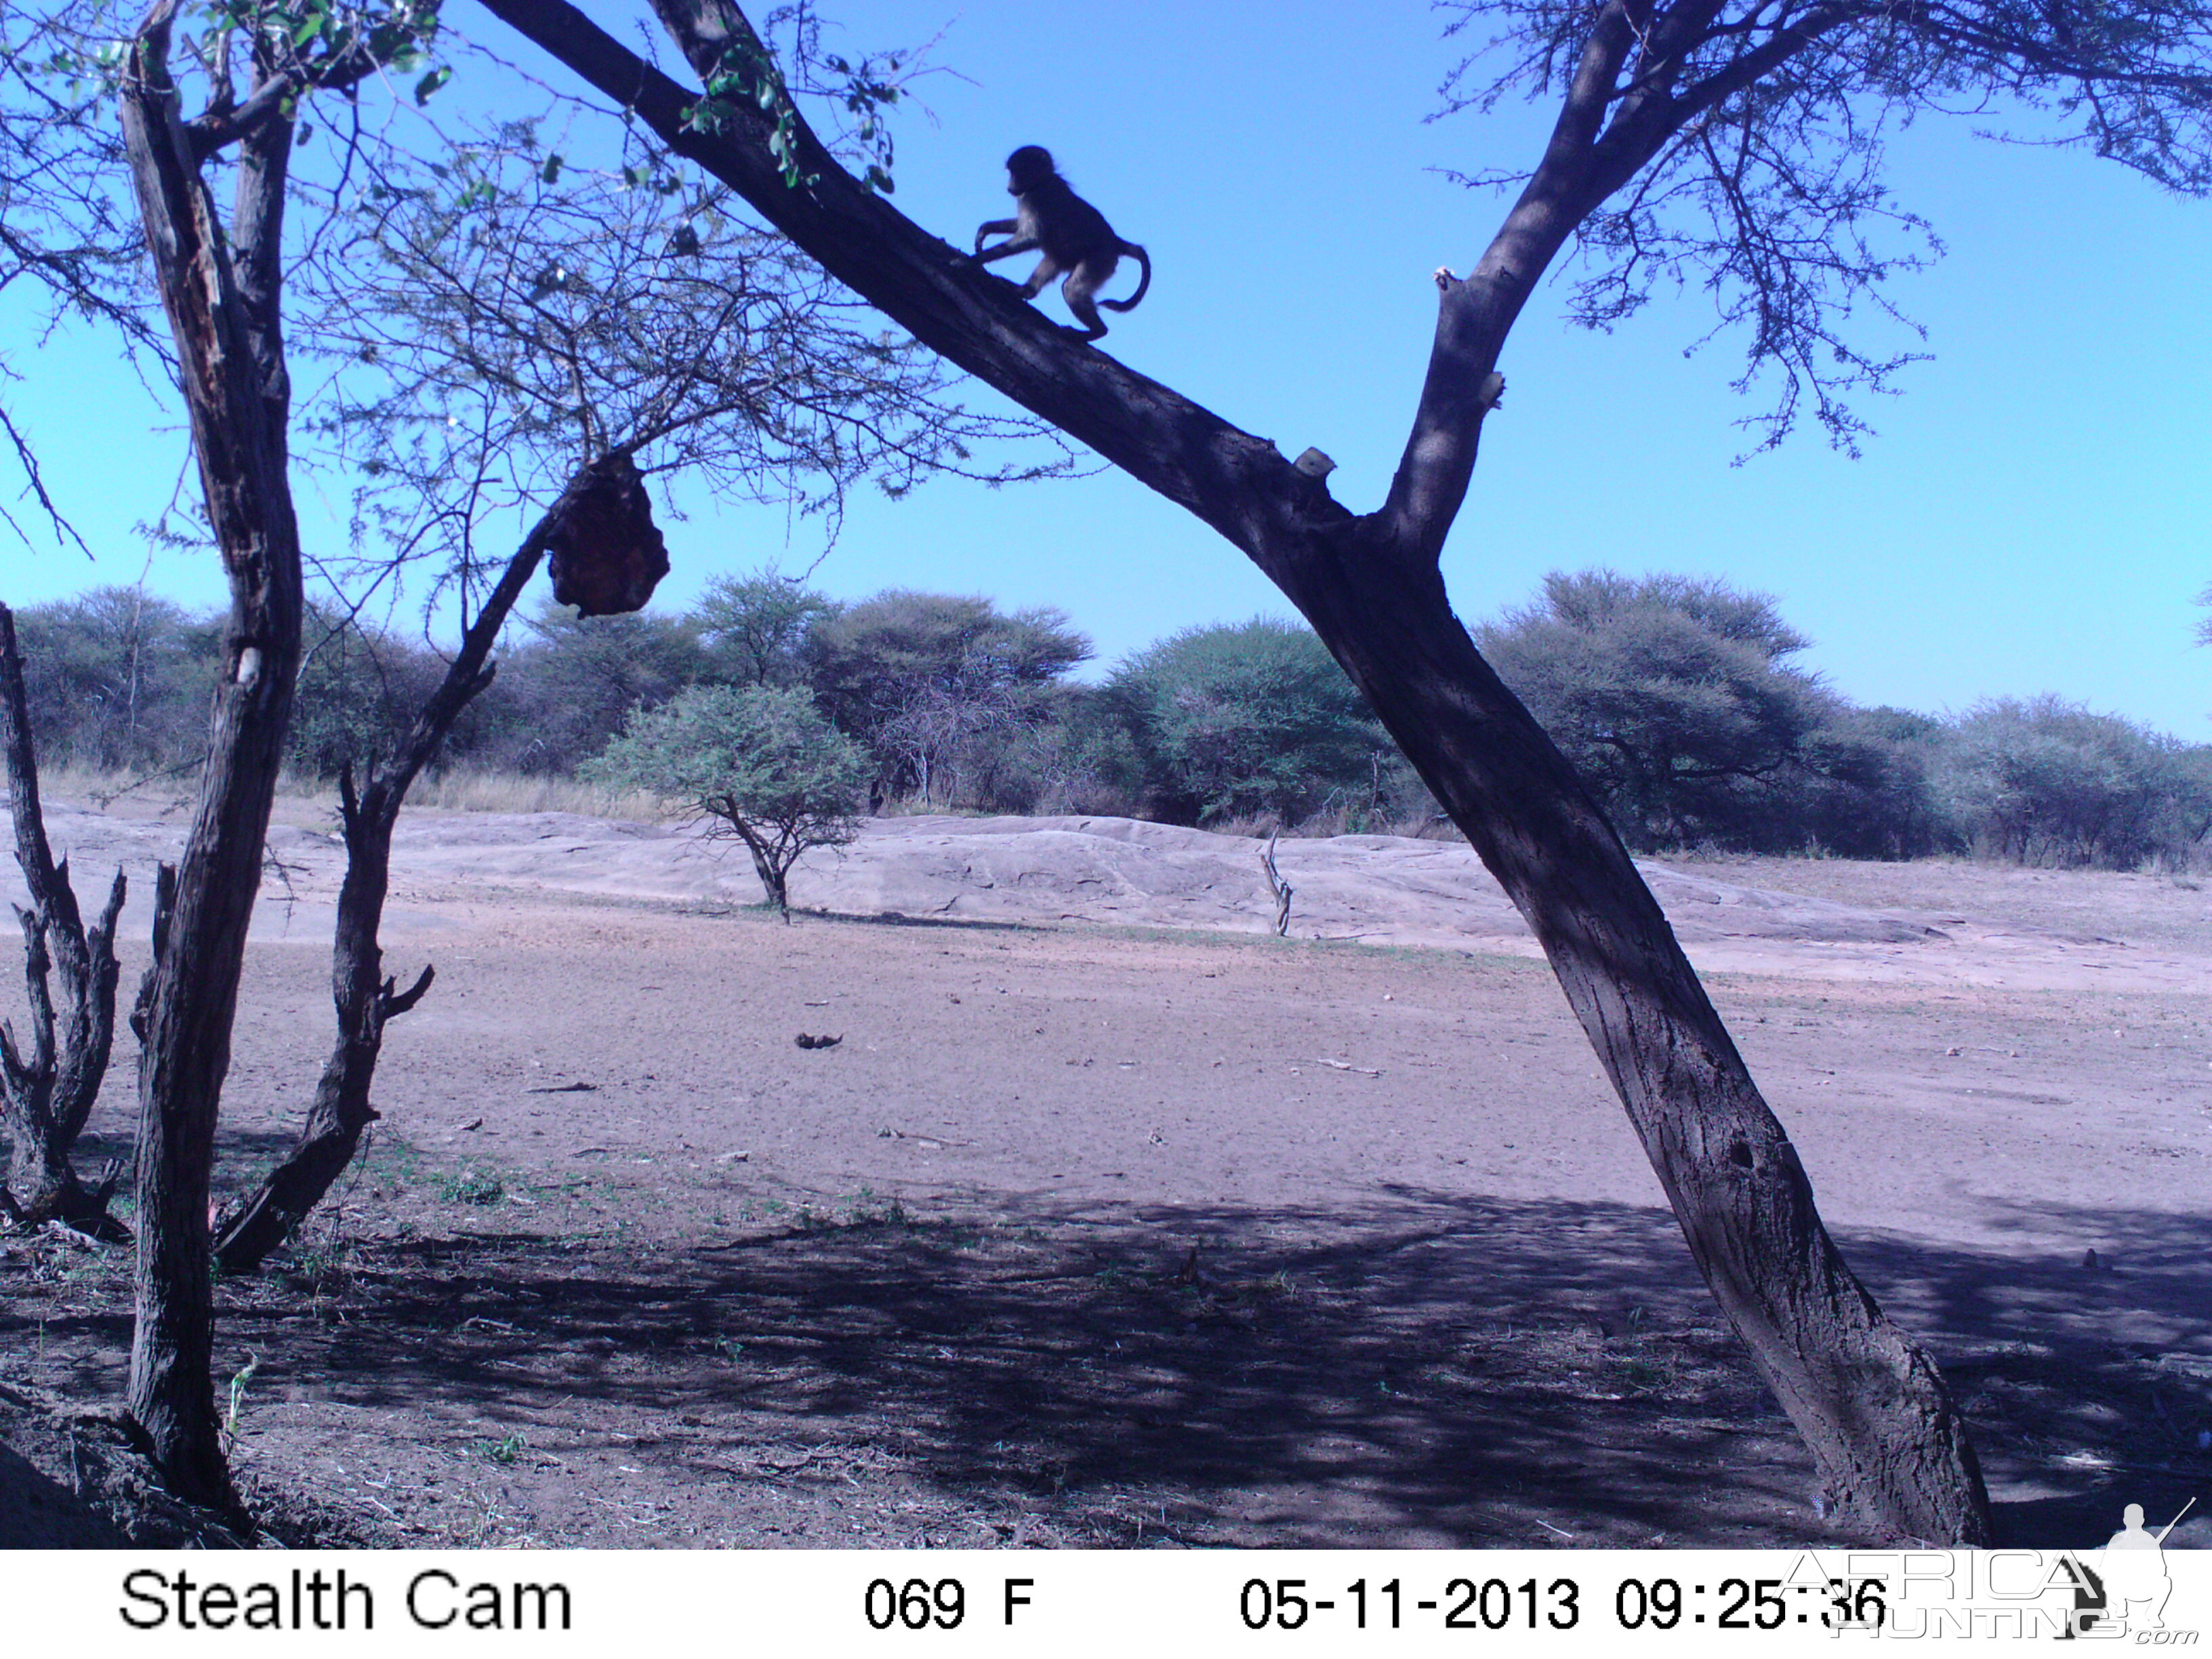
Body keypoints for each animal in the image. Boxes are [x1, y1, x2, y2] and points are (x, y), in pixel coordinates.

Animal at [972, 145, 1150, 341]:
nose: (1009, 187)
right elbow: (1023, 230)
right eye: (1011, 172)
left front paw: (972, 260)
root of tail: (1114, 240)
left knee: (1072, 289)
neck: (1043, 181)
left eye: (1018, 173)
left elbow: (1031, 238)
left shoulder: (1037, 198)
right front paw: (985, 229)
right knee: (1053, 261)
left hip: (1101, 259)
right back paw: (1026, 291)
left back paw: (1095, 332)